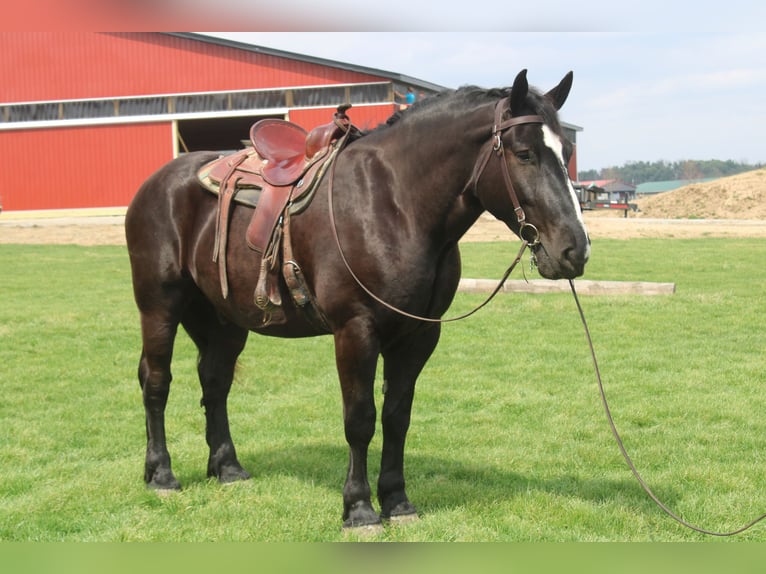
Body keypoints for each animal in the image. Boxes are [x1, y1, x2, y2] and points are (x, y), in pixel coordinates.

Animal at [125, 69, 590, 530]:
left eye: (567, 151)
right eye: (524, 153)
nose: (576, 250)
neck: (395, 204)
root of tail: (157, 183)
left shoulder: (418, 336)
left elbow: (397, 417)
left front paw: (397, 501)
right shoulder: (355, 330)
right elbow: (361, 419)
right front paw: (359, 508)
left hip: (225, 319)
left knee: (215, 381)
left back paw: (227, 468)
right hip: (159, 306)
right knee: (156, 381)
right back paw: (161, 474)